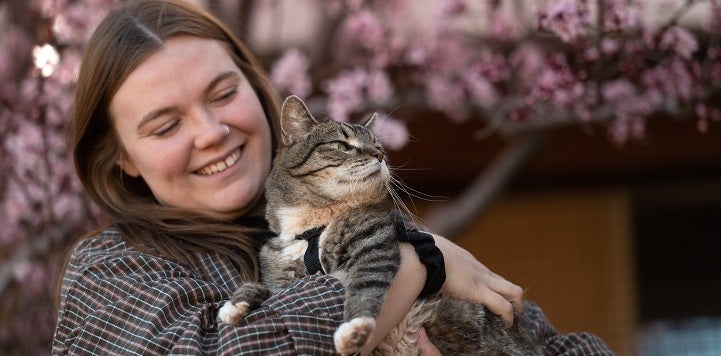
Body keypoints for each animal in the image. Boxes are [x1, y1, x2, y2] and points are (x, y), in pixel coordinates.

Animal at [219, 96, 540, 354]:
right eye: (342, 145)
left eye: (377, 145)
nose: (380, 155)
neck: (313, 228)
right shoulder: (284, 272)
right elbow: (274, 295)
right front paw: (238, 304)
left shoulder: (374, 244)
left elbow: (364, 286)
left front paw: (355, 328)